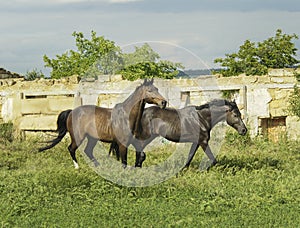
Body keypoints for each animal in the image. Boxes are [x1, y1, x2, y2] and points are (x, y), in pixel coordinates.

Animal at [38, 79, 166, 168]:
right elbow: (124, 161)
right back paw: (78, 167)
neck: (126, 116)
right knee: (71, 149)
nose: (164, 102)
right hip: (78, 137)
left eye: (157, 89)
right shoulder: (122, 144)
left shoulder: (134, 142)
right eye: (149, 90)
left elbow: (140, 156)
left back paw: (98, 166)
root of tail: (71, 112)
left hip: (92, 138)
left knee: (88, 151)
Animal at [110, 100, 246, 169]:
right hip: (145, 137)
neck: (201, 118)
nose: (244, 130)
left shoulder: (196, 142)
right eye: (235, 115)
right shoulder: (203, 142)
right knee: (138, 150)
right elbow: (213, 159)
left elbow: (189, 157)